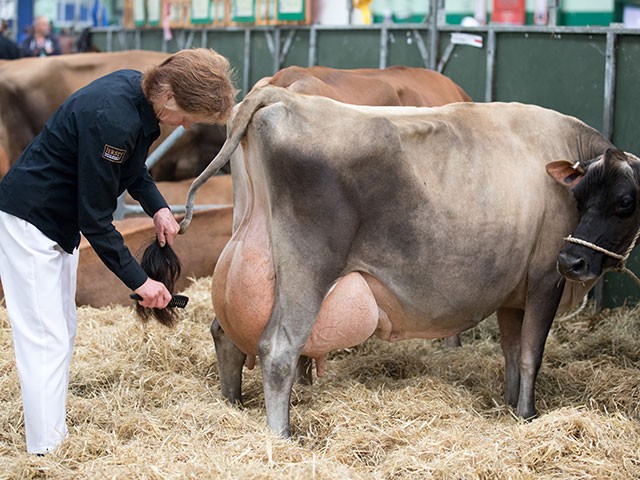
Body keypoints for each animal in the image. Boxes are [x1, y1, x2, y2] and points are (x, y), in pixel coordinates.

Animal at [179, 84, 640, 436]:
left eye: (624, 202)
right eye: (580, 198)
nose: (573, 260)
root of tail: (282, 96)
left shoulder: (515, 289)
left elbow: (511, 352)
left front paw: (509, 407)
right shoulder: (546, 278)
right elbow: (530, 354)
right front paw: (527, 416)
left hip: (246, 254)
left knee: (224, 332)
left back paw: (232, 406)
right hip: (307, 270)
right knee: (277, 349)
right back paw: (282, 435)